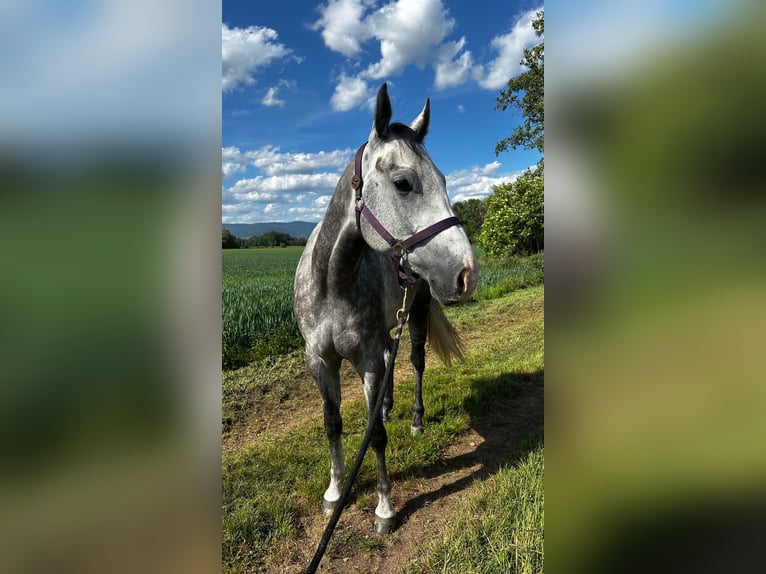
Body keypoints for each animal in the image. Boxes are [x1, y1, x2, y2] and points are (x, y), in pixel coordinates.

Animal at [293, 83, 479, 534]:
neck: (332, 283)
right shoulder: (319, 361)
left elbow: (375, 435)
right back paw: (390, 405)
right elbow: (332, 424)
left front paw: (384, 507)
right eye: (403, 183)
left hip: (416, 315)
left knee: (413, 362)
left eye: (444, 180)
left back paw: (413, 417)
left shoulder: (365, 361)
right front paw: (334, 492)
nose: (467, 274)